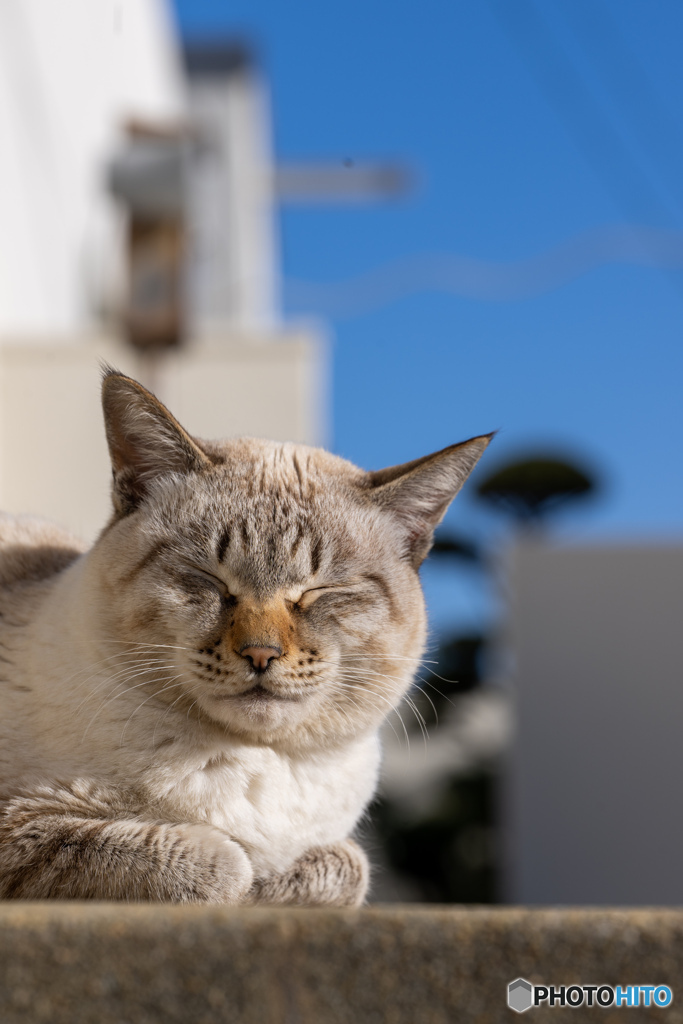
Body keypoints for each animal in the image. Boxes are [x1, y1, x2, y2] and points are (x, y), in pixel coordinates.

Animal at [0, 370, 493, 905]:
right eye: (210, 579)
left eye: (319, 591)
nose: (261, 653)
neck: (262, 760)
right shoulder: (22, 823)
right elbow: (223, 863)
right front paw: (252, 882)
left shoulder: (338, 848)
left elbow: (346, 865)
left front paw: (278, 886)